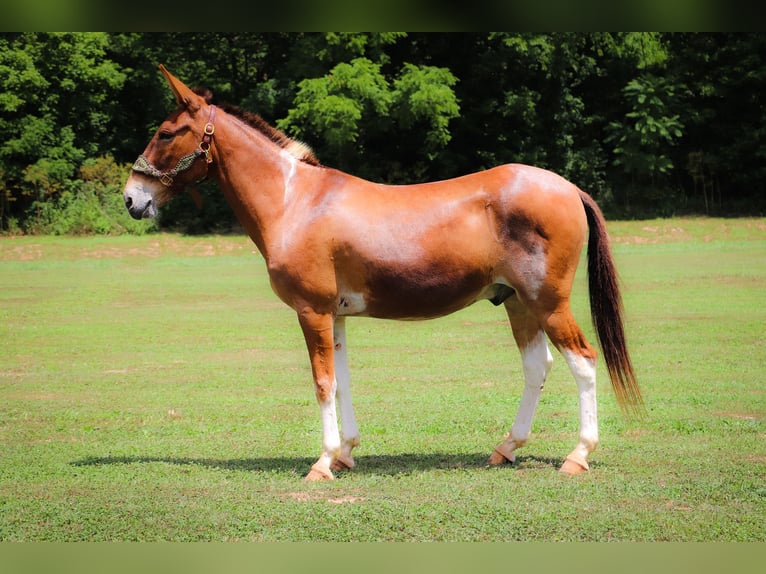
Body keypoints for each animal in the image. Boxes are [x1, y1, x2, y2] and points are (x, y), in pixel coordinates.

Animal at [123, 66, 644, 482]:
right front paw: (346, 453)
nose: (131, 198)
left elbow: (322, 383)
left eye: (166, 133)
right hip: (516, 301)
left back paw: (578, 455)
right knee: (538, 366)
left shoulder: (312, 311)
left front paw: (322, 463)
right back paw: (506, 448)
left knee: (583, 361)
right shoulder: (335, 315)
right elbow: (342, 379)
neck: (296, 201)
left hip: (547, 302)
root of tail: (567, 186)